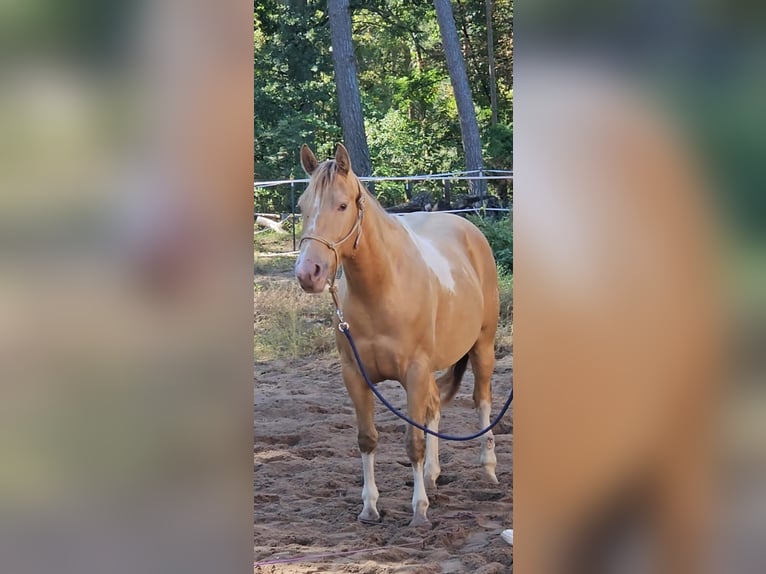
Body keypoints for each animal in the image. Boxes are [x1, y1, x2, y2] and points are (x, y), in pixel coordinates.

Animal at [294, 143, 500, 526]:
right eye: (302, 206)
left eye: (342, 205)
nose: (308, 273)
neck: (383, 289)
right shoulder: (355, 375)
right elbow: (367, 439)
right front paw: (369, 507)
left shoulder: (415, 372)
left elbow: (413, 442)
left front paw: (419, 511)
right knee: (435, 407)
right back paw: (433, 476)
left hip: (483, 347)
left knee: (481, 401)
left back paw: (489, 470)